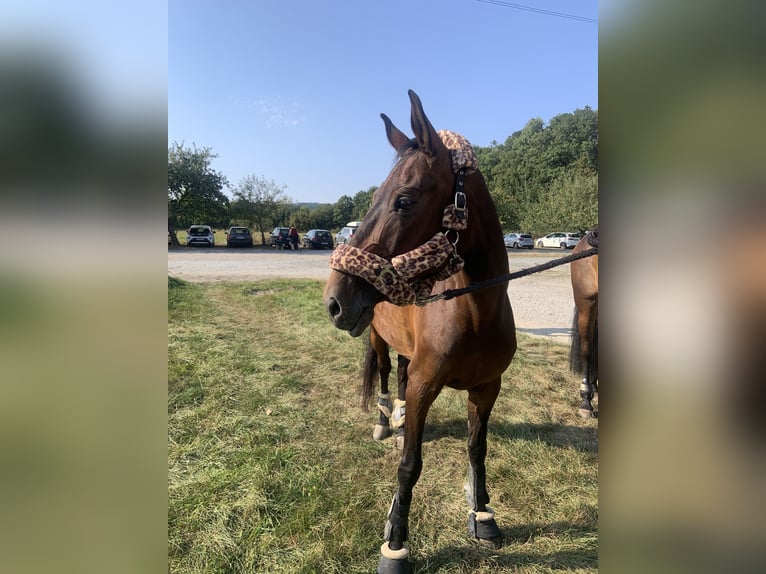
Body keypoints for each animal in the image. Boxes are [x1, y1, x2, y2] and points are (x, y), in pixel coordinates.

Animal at [322, 90, 516, 572]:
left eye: (404, 200)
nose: (334, 300)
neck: (476, 311)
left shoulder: (487, 387)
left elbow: (477, 449)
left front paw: (483, 514)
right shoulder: (428, 384)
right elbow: (410, 464)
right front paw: (395, 542)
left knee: (402, 374)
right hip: (377, 340)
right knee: (386, 373)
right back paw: (384, 421)